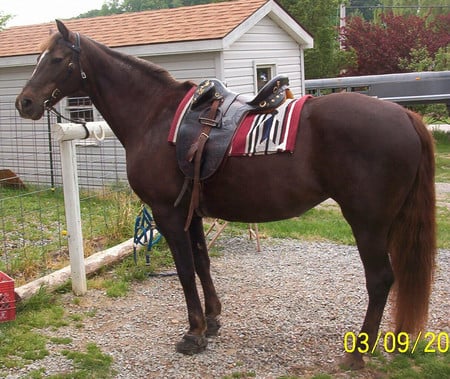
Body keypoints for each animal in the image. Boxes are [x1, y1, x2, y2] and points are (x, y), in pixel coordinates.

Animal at [15, 21, 434, 372]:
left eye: (56, 59)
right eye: (37, 59)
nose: (24, 102)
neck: (155, 117)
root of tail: (404, 116)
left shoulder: (168, 214)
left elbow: (185, 271)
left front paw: (194, 333)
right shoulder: (193, 212)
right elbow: (203, 263)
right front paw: (213, 319)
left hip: (367, 222)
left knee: (380, 280)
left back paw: (358, 352)